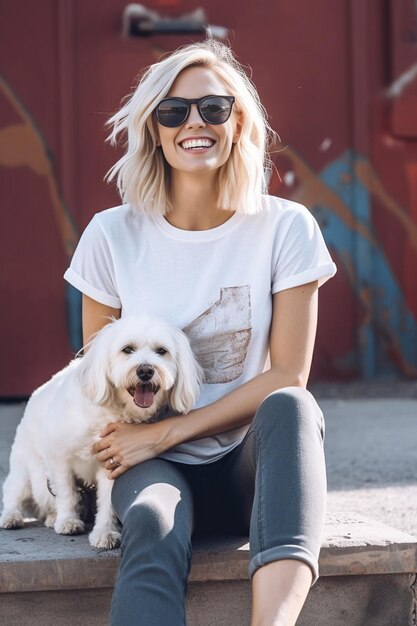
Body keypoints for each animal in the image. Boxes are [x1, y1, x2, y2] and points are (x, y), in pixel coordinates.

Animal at [0, 312, 202, 544]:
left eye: (162, 351)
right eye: (127, 349)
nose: (146, 370)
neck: (112, 411)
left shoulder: (112, 460)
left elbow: (107, 503)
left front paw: (105, 532)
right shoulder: (58, 456)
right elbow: (66, 492)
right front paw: (68, 521)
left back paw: (51, 517)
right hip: (24, 470)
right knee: (14, 493)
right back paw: (12, 517)